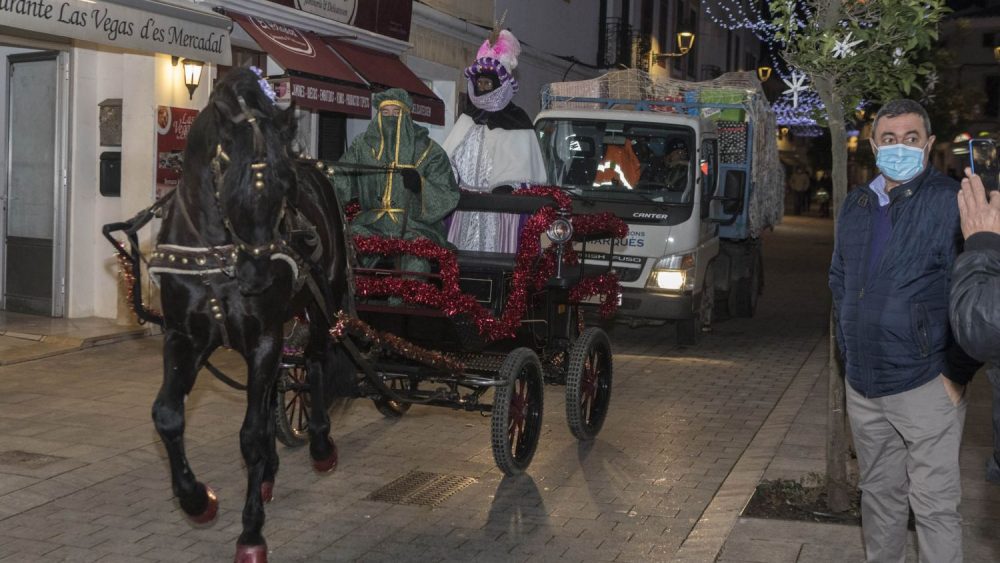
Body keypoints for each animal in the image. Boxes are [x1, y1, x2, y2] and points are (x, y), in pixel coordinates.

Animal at [146, 68, 352, 560]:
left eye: (286, 187)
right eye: (227, 176)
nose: (257, 274)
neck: (218, 255)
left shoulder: (263, 337)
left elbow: (252, 434)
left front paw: (251, 533)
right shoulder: (185, 337)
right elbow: (167, 415)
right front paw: (198, 500)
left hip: (321, 306)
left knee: (316, 363)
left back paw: (320, 444)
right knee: (280, 382)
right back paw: (270, 475)